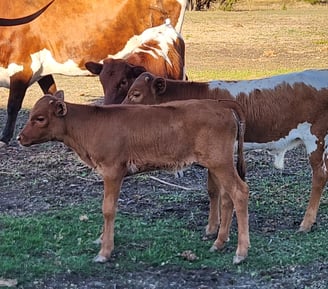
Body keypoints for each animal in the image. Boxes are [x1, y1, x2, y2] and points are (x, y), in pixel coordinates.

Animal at [18, 90, 249, 264]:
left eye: (40, 118)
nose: (20, 138)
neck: (88, 126)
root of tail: (220, 105)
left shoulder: (112, 171)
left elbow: (108, 209)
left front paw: (105, 251)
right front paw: (101, 239)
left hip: (220, 162)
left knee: (239, 192)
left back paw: (240, 252)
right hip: (218, 164)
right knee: (226, 197)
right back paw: (219, 241)